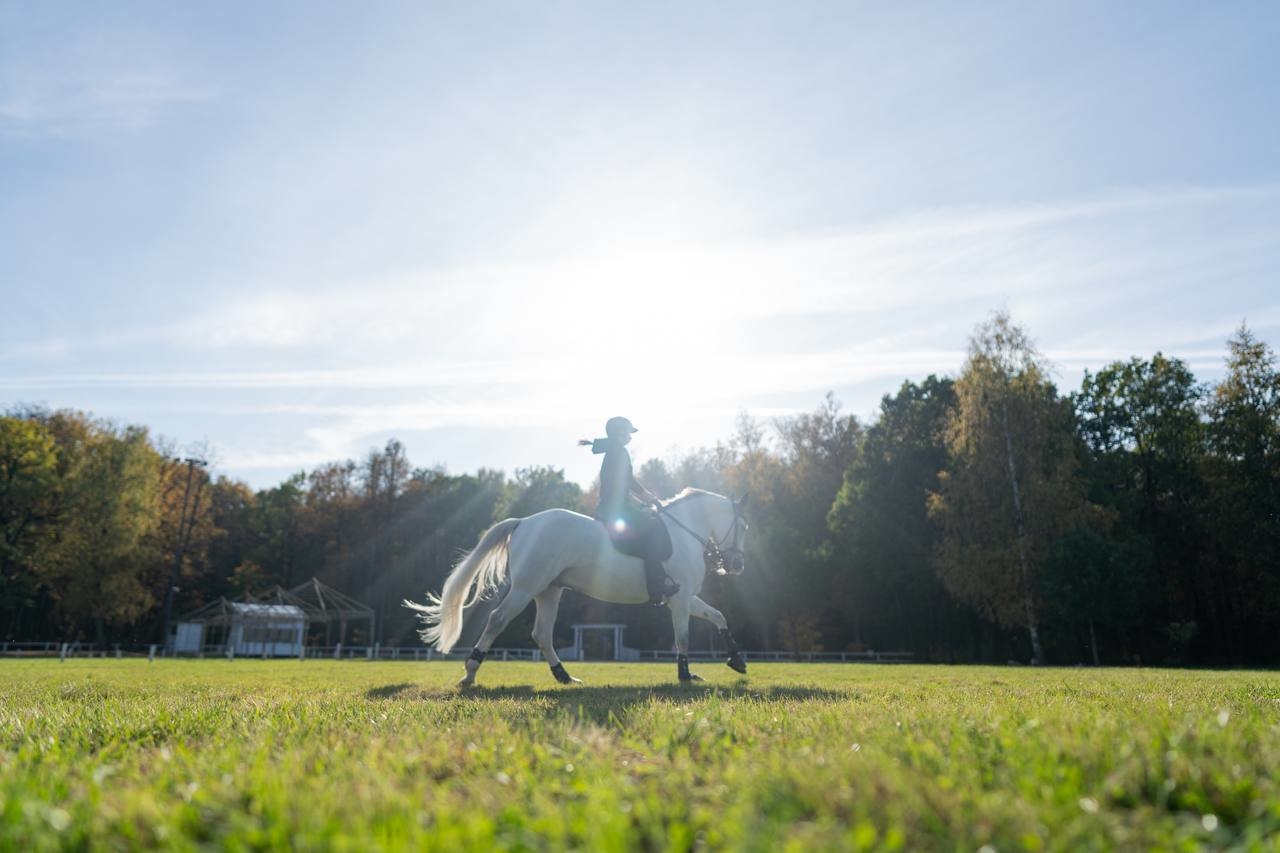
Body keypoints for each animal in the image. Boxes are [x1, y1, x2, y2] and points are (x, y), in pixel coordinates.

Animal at [404, 489, 747, 681]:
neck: (685, 533)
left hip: (549, 590)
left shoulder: (686, 596)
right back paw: (470, 673)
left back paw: (565, 677)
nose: (737, 565)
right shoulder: (679, 599)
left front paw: (738, 662)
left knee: (541, 633)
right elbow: (683, 638)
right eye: (743, 526)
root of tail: (524, 521)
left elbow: (719, 617)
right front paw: (686, 675)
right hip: (527, 588)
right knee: (497, 620)